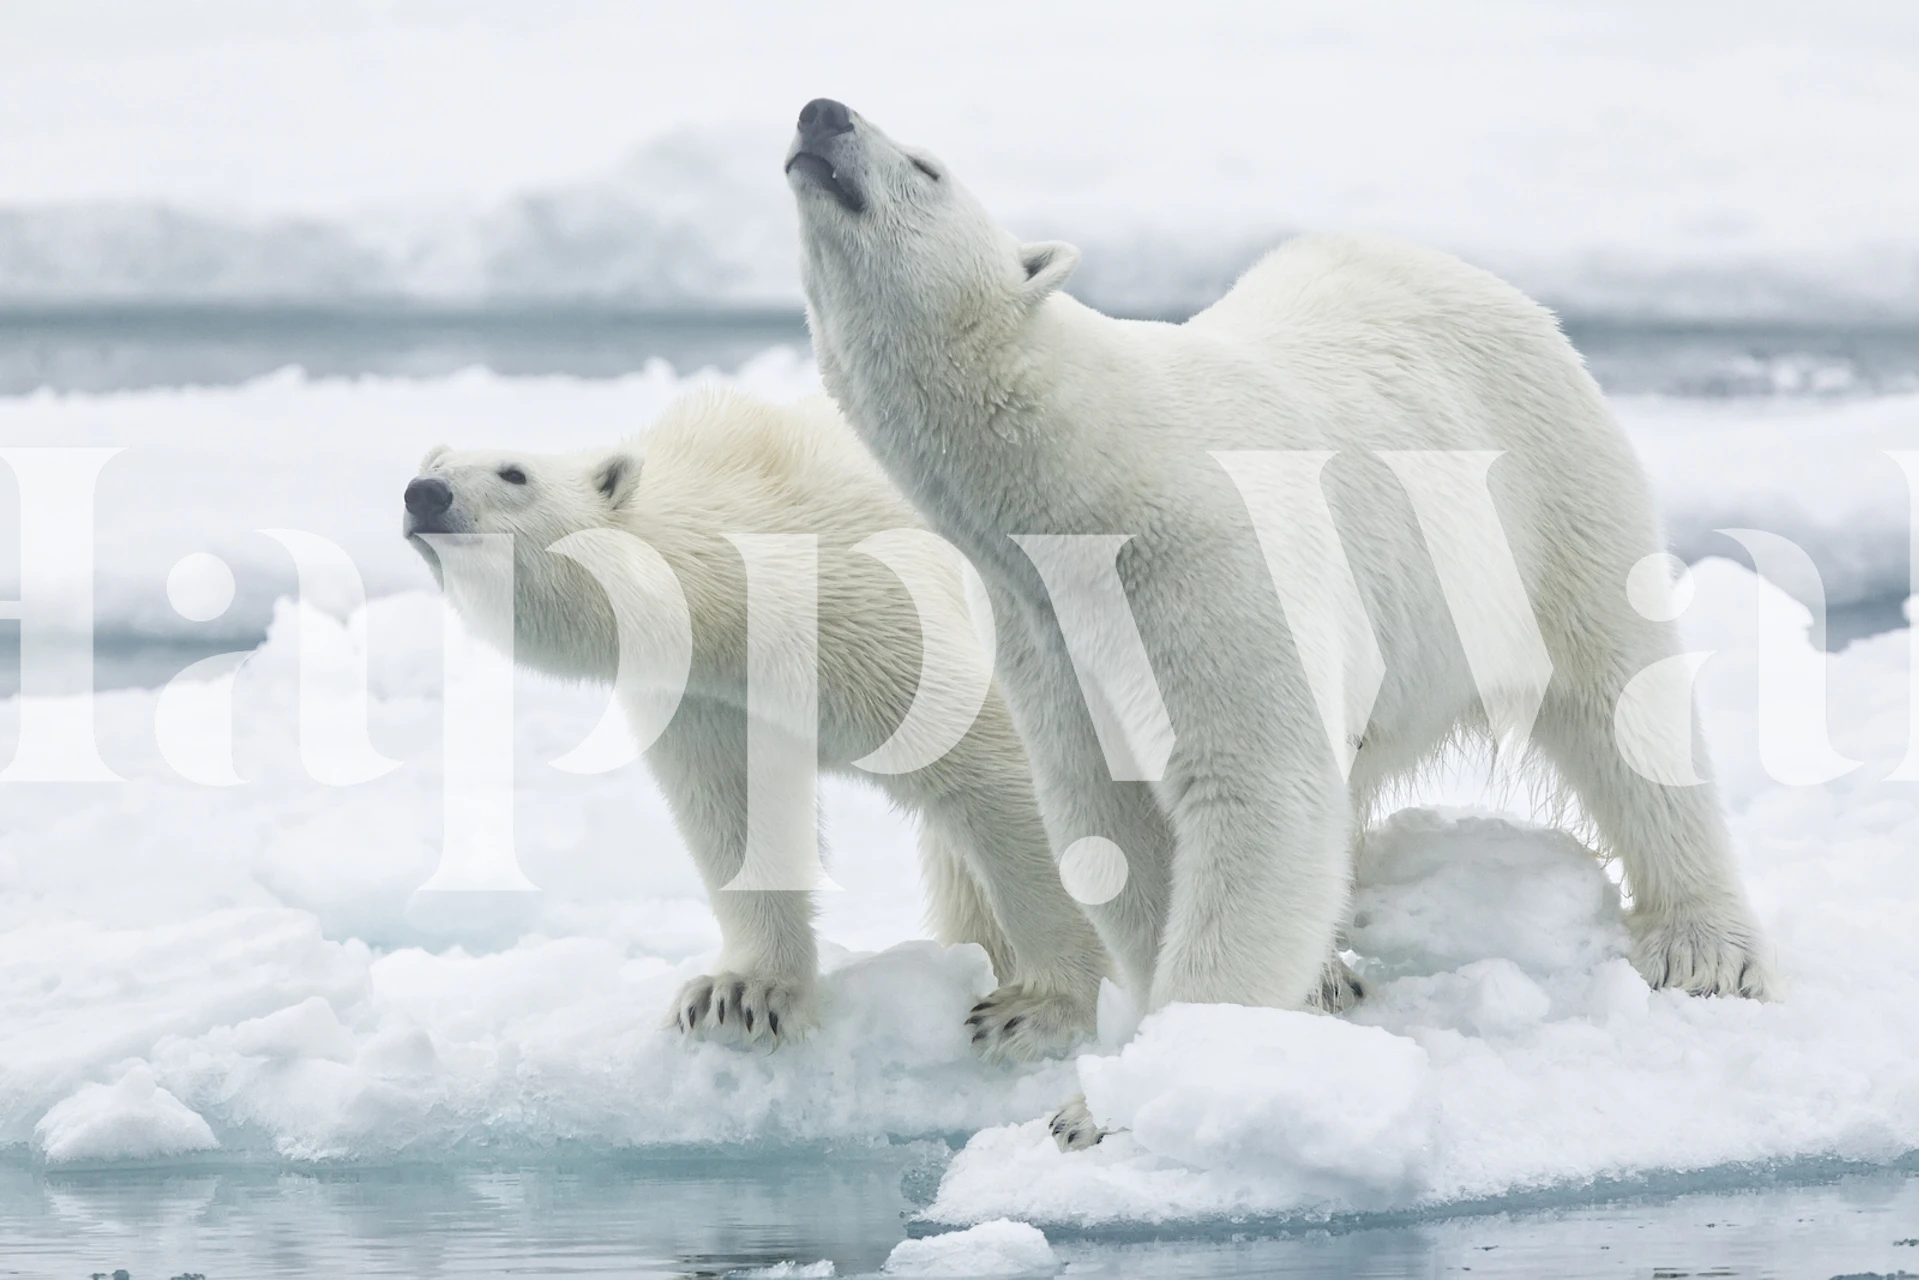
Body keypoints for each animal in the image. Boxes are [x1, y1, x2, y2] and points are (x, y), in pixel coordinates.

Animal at [401, 387, 1109, 1062]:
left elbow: (999, 774)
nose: (424, 493)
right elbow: (736, 809)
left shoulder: (872, 610)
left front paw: (1038, 1010)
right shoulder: (708, 695)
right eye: (433, 464)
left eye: (514, 473)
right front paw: (739, 995)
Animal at [783, 100, 1775, 1039]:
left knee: (1620, 697)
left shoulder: (1214, 564)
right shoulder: (1045, 629)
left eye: (925, 166)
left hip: (1547, 491)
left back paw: (1703, 947)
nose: (820, 113)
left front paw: (1162, 1068)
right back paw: (1330, 971)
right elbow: (1112, 816)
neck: (1098, 475)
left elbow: (1262, 791)